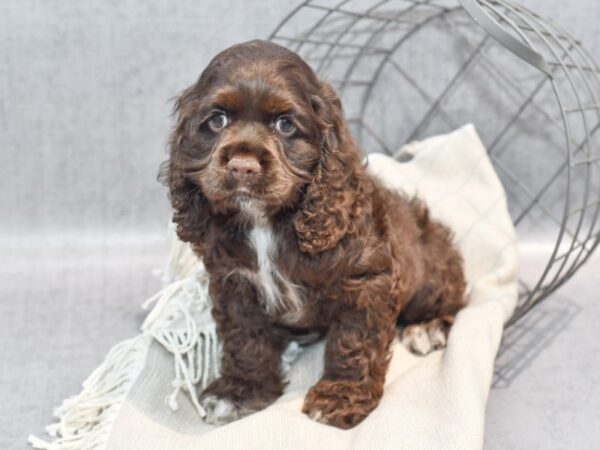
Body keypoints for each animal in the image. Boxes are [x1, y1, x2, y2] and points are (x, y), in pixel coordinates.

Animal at [162, 39, 466, 428]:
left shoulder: (366, 283)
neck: (266, 222)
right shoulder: (235, 286)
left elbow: (354, 343)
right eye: (217, 120)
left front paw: (341, 396)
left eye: (285, 124)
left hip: (430, 276)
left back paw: (428, 328)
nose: (243, 167)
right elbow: (245, 340)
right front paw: (241, 391)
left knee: (454, 299)